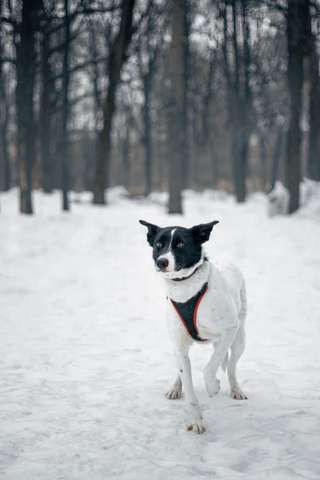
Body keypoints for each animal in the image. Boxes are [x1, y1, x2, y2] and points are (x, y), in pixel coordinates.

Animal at [140, 219, 248, 434]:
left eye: (181, 244)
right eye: (158, 245)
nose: (161, 262)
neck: (186, 287)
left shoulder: (229, 329)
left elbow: (210, 367)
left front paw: (213, 386)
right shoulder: (179, 345)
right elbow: (189, 388)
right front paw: (196, 420)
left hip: (239, 339)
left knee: (231, 367)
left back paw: (235, 389)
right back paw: (176, 387)